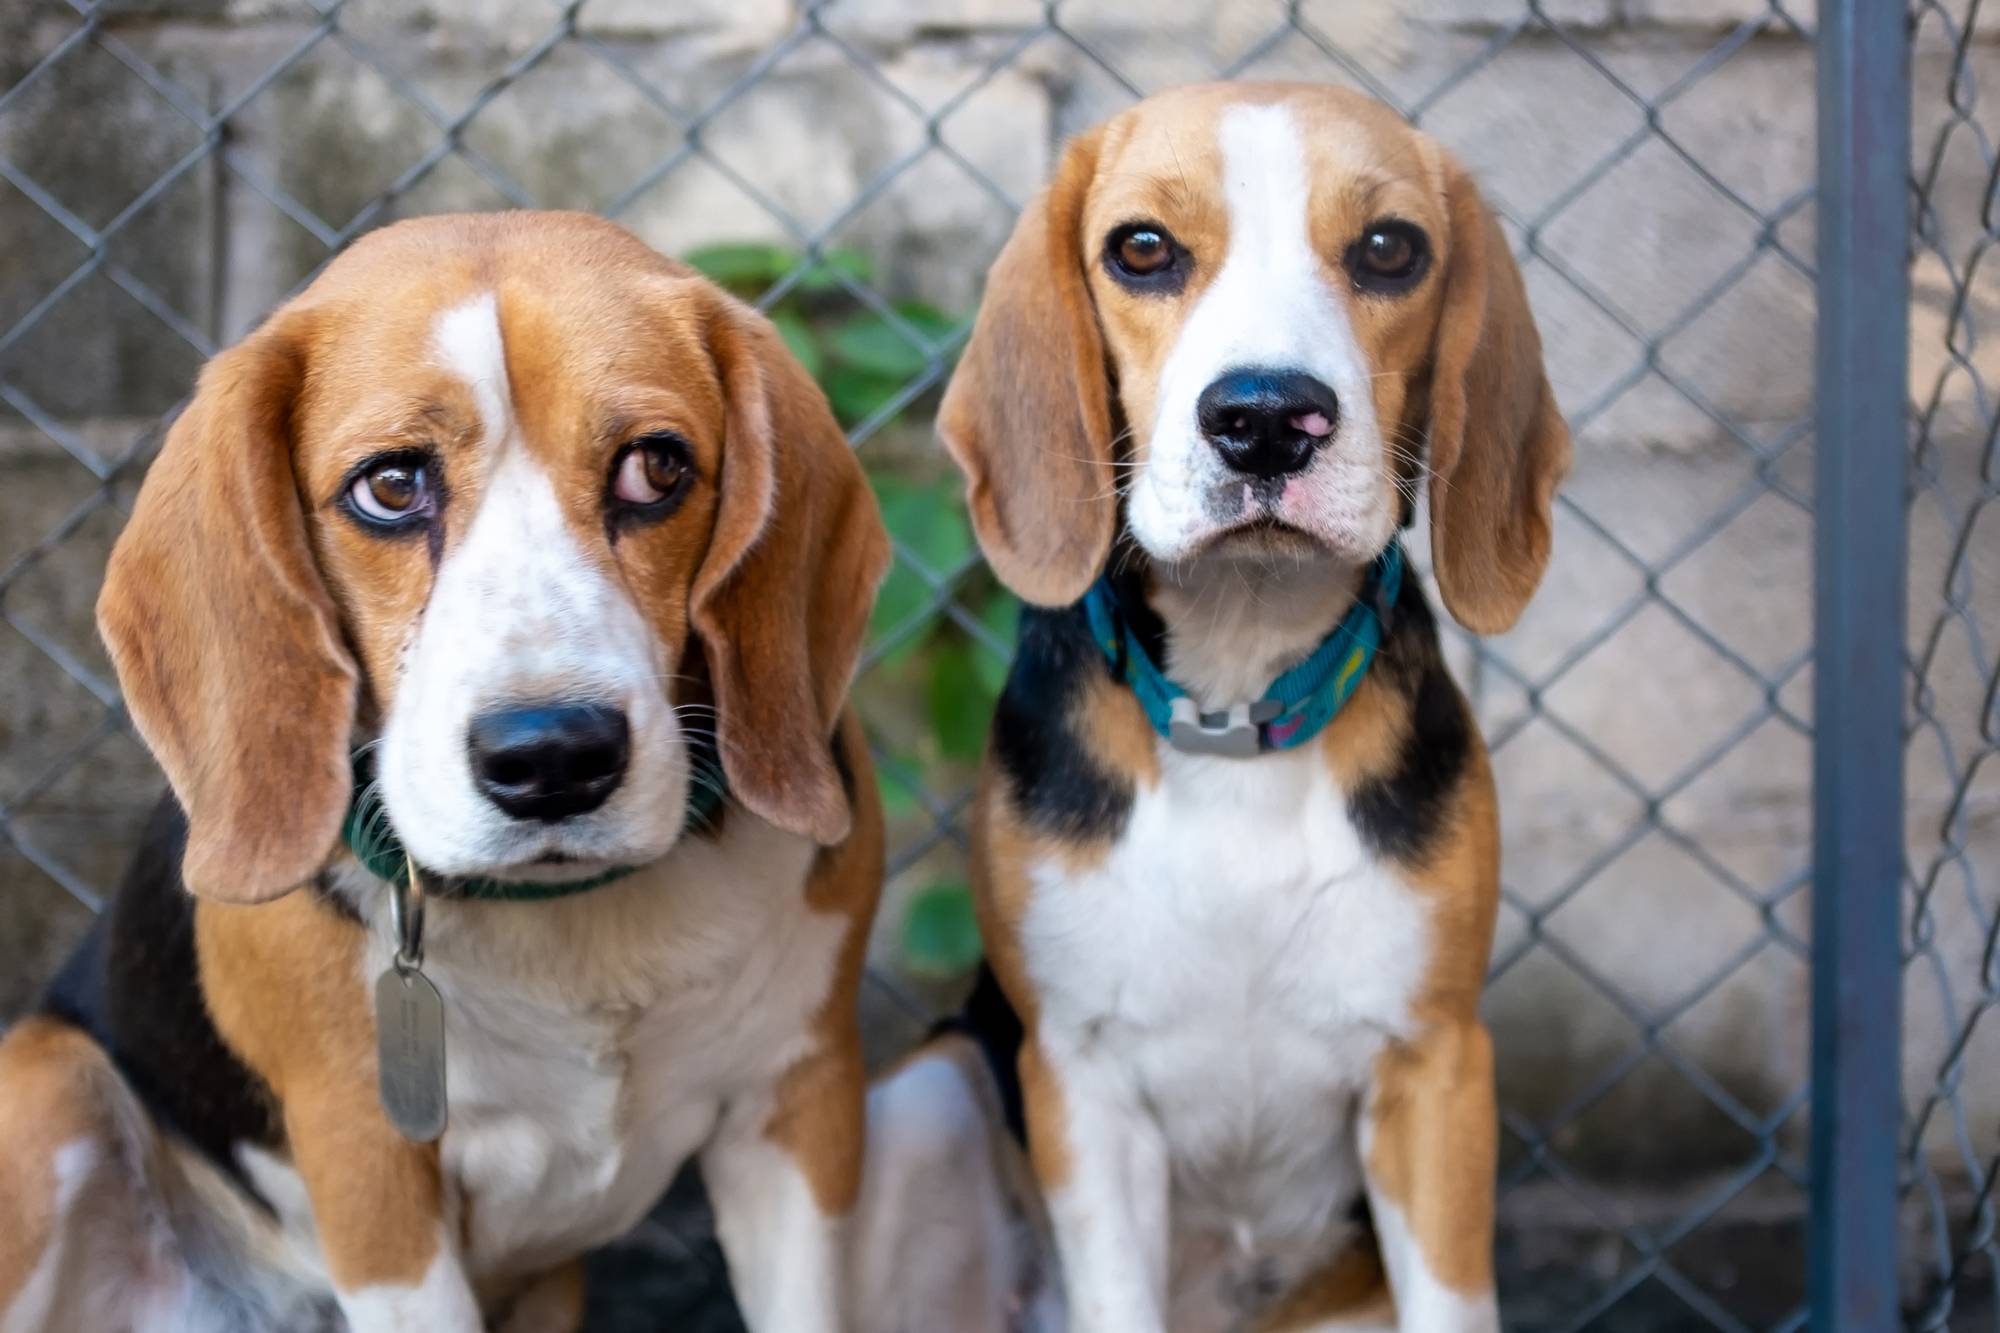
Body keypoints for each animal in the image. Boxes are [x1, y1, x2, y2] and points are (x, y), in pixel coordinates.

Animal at [0, 211, 897, 1332]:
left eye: (656, 467)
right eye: (390, 486)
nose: (552, 756)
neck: (573, 926)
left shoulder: (799, 1109)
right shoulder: (374, 1181)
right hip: (41, 1090)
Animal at [928, 82, 1573, 1332]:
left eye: (1389, 248)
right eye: (1140, 249)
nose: (1267, 418)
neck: (1234, 706)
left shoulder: (1435, 1071)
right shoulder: (1075, 1083)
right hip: (928, 1078)